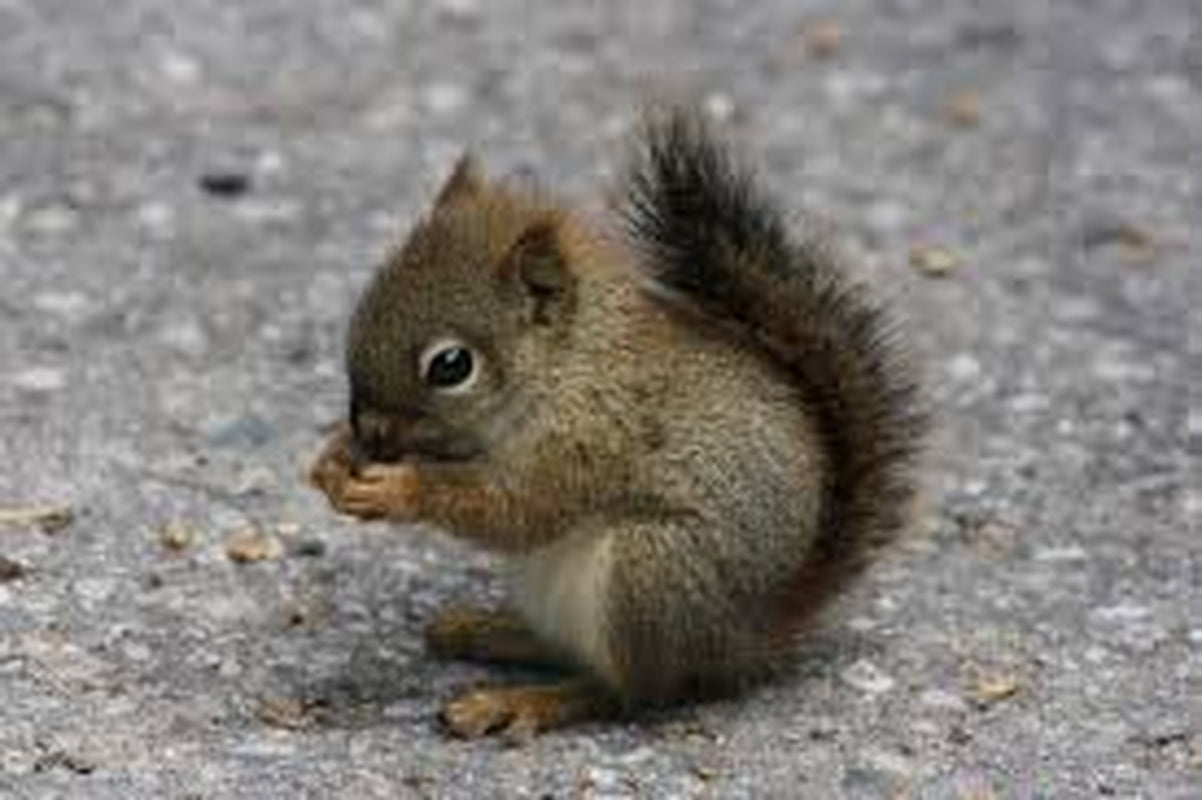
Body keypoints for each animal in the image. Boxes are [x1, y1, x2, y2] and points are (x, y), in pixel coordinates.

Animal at [309, 107, 924, 741]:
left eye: (451, 366)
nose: (370, 429)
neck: (566, 367)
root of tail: (746, 641)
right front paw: (333, 460)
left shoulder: (589, 439)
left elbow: (517, 509)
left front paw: (401, 489)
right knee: (569, 651)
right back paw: (486, 630)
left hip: (650, 572)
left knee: (629, 692)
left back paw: (526, 701)